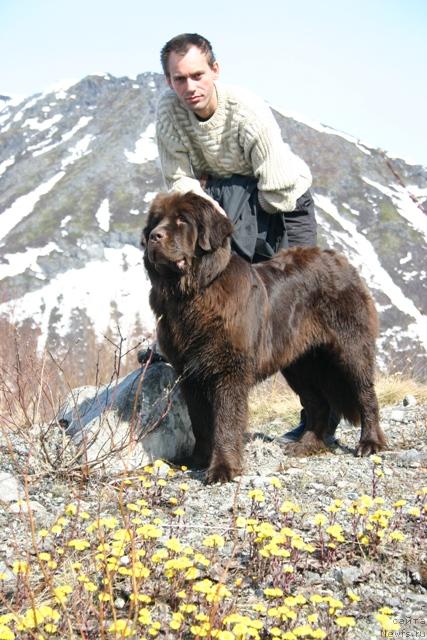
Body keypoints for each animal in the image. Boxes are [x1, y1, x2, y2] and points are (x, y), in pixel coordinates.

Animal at [143, 192, 388, 482]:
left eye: (182, 220)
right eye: (156, 221)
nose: (154, 237)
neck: (194, 293)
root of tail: (342, 262)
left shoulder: (229, 371)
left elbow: (226, 421)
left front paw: (223, 468)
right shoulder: (190, 373)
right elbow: (199, 421)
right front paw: (198, 460)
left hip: (350, 349)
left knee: (365, 393)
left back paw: (370, 443)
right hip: (300, 365)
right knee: (318, 404)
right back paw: (306, 445)